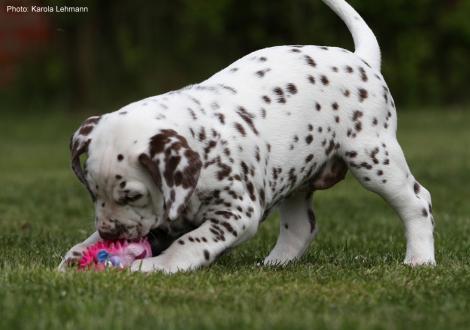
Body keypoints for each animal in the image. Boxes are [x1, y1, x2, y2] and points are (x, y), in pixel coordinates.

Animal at [59, 0, 436, 272]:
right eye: (92, 192)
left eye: (132, 196)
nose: (110, 233)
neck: (202, 145)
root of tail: (361, 59)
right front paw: (81, 251)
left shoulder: (236, 213)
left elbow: (192, 242)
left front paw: (159, 265)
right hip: (295, 175)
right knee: (302, 227)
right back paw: (275, 263)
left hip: (373, 157)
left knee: (417, 200)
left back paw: (419, 259)